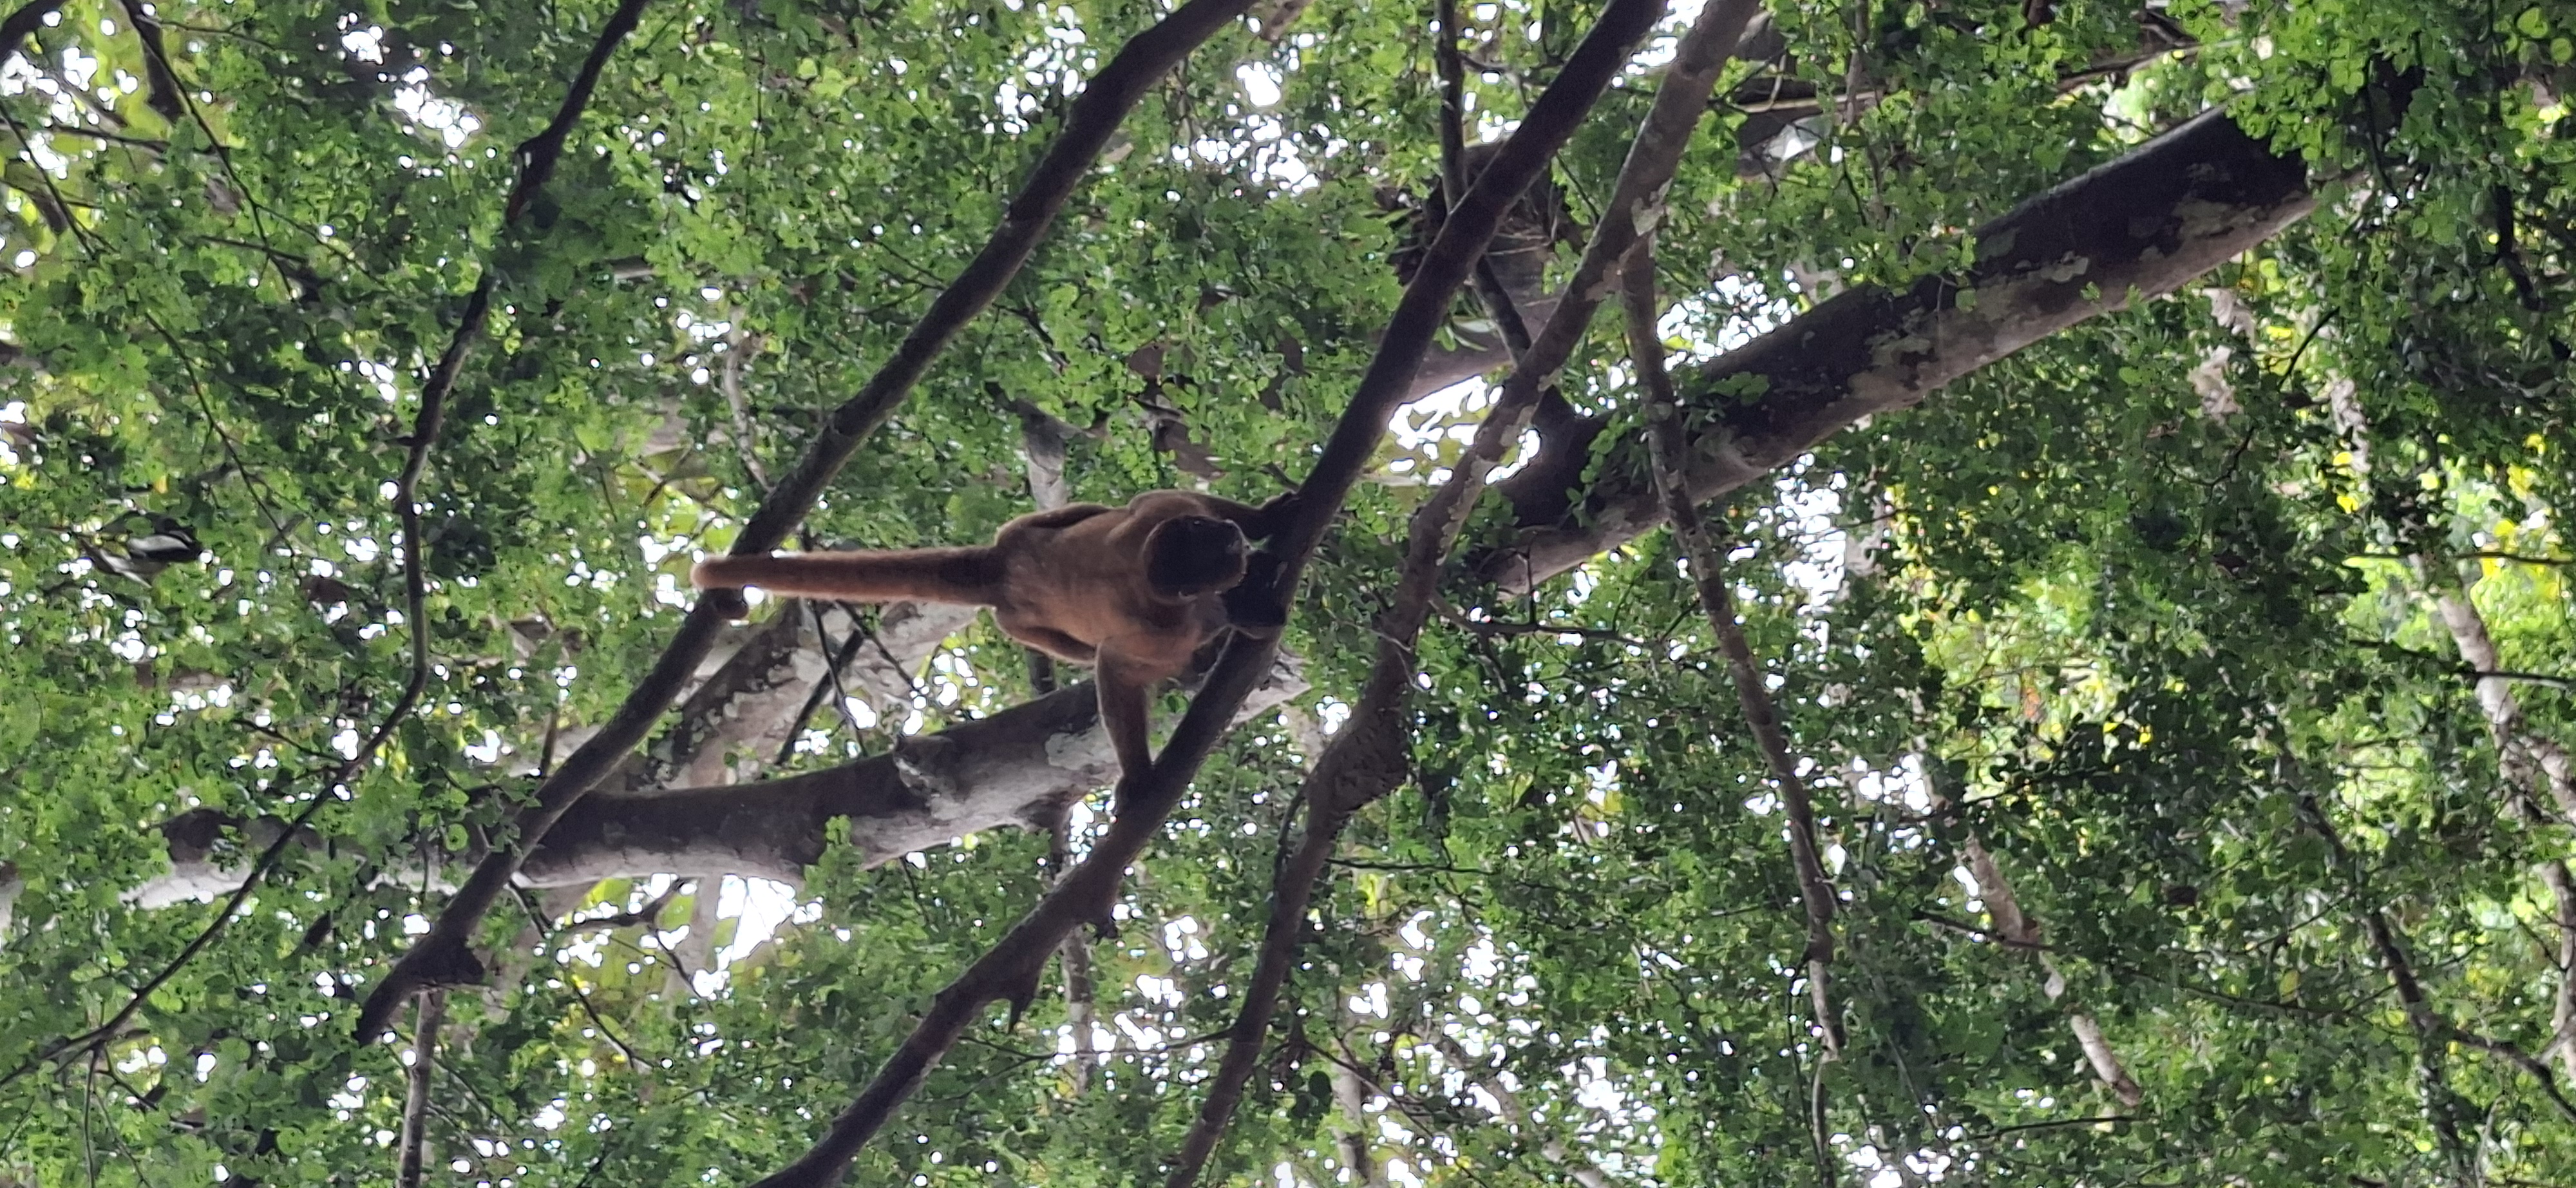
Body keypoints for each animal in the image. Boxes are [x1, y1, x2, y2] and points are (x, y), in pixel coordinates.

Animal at [691, 490, 1292, 788]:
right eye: (1209, 553)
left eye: (1208, 536)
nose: (1230, 539)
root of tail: (1001, 568)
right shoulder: (1160, 627)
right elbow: (1115, 668)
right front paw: (1140, 780)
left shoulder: (1166, 515)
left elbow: (1163, 494)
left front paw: (1265, 520)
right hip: (1022, 623)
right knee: (1083, 650)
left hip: (1025, 528)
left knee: (1095, 512)